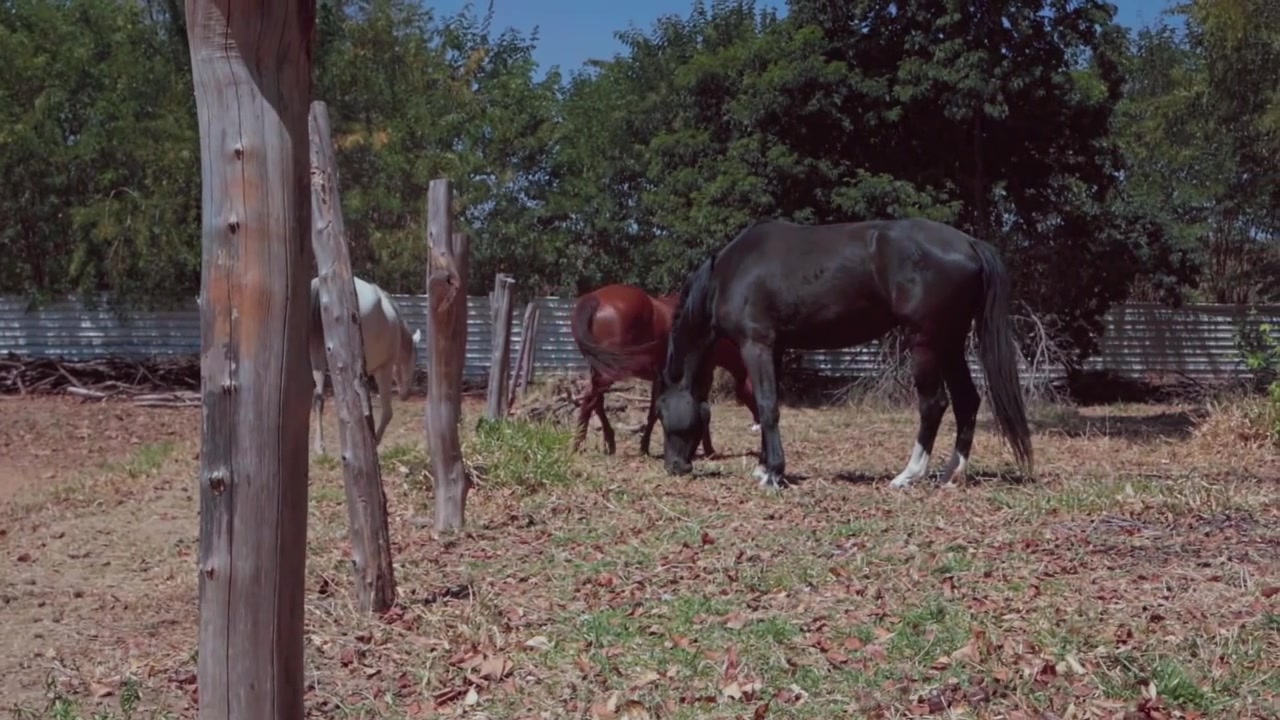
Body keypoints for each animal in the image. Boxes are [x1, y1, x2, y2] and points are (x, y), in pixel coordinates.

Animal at [309, 275, 422, 456]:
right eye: (413, 362)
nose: (406, 394)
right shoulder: (383, 370)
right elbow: (386, 412)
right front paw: (375, 440)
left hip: (317, 355)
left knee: (319, 398)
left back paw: (320, 447)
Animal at [570, 283, 760, 457]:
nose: (760, 420)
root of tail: (594, 298)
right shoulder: (704, 375)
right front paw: (709, 449)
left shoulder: (659, 378)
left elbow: (654, 412)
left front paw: (644, 447)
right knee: (590, 400)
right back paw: (578, 444)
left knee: (596, 402)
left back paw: (606, 442)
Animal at [657, 218, 1034, 490]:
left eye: (660, 412)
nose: (674, 466)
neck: (730, 273)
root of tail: (969, 243)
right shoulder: (775, 348)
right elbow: (767, 406)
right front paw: (765, 468)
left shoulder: (757, 344)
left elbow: (766, 406)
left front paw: (774, 474)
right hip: (950, 342)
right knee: (967, 400)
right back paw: (951, 475)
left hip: (925, 341)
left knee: (933, 404)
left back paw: (908, 475)